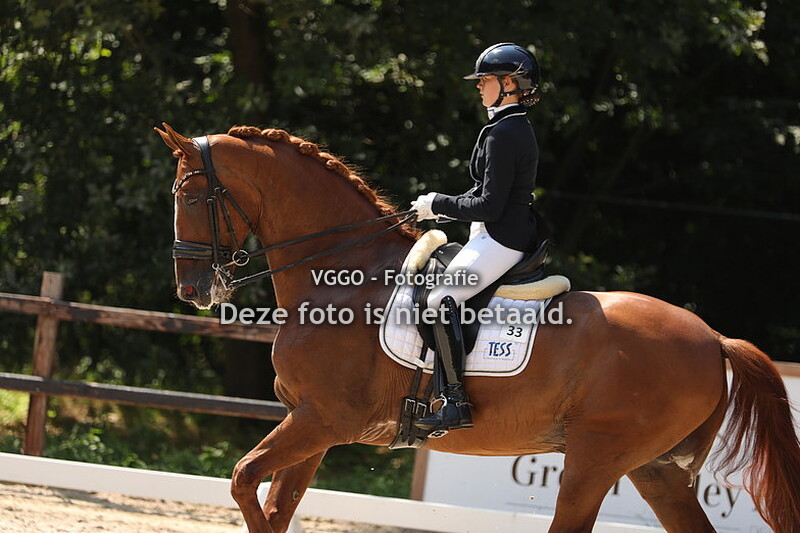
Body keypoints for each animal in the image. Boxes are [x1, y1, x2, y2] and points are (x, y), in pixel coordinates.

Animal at [156, 122, 800, 533]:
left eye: (188, 195)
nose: (192, 291)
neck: (341, 275)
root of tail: (713, 338)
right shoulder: (312, 426)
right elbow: (276, 507)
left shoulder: (322, 420)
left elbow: (243, 480)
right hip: (655, 469)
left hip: (596, 461)